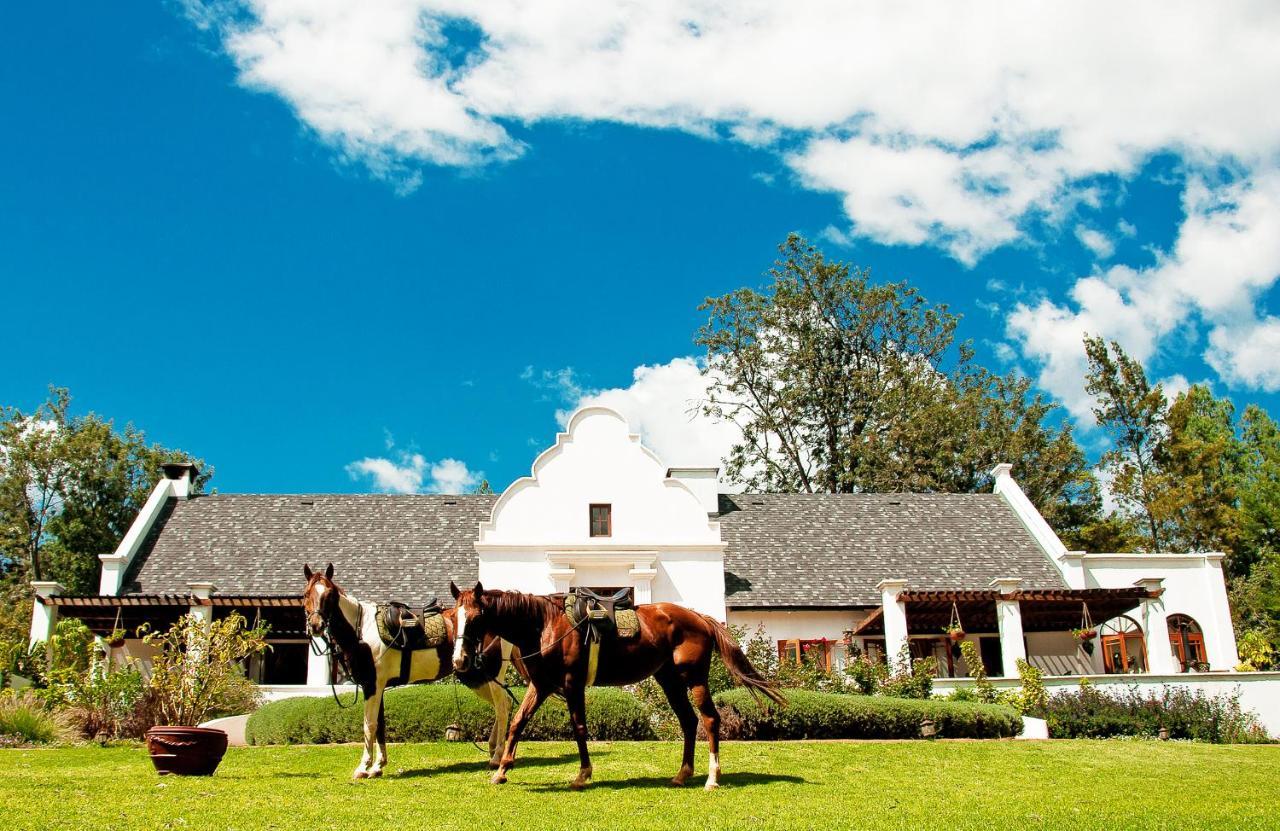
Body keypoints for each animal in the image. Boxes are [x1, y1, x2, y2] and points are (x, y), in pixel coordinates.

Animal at [302, 563, 517, 778]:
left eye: (330, 594)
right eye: (306, 594)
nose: (316, 625)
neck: (362, 631)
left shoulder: (372, 685)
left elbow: (369, 724)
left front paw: (363, 767)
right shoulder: (376, 686)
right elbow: (380, 725)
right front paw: (378, 766)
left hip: (491, 675)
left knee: (502, 708)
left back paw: (497, 757)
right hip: (475, 678)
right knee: (504, 704)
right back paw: (493, 749)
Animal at [455, 581, 783, 788]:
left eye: (475, 619)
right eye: (454, 618)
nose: (460, 660)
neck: (544, 624)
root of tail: (699, 618)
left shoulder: (572, 684)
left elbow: (579, 727)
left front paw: (583, 774)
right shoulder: (542, 685)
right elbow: (517, 723)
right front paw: (501, 770)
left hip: (695, 678)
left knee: (710, 720)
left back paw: (712, 778)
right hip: (668, 680)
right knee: (689, 721)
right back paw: (682, 774)